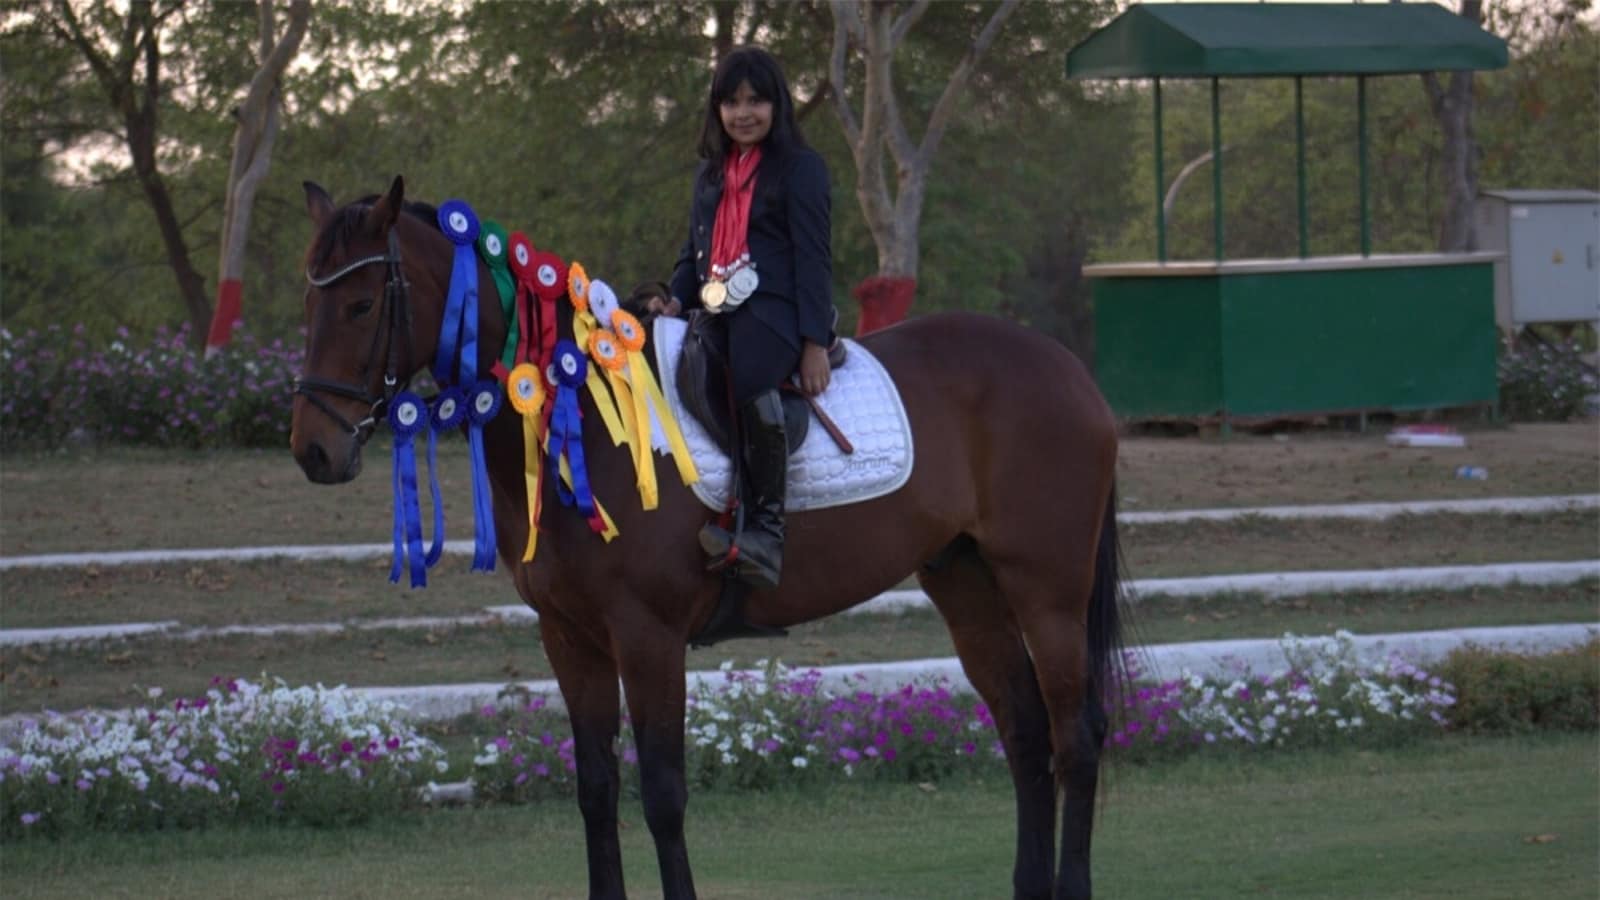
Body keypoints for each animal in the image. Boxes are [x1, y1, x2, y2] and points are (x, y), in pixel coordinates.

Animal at [288, 176, 1126, 896]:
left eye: (360, 306)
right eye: (310, 304)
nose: (313, 451)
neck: (579, 421)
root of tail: (1068, 369)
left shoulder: (648, 636)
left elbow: (662, 792)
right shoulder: (570, 638)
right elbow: (595, 788)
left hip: (1047, 590)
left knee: (1074, 736)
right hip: (967, 583)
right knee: (1025, 734)